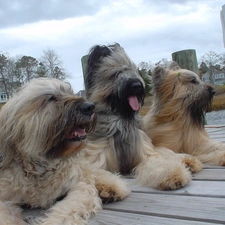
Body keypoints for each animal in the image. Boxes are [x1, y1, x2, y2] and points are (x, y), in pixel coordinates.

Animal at [0, 78, 130, 225]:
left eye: (71, 92)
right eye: (51, 98)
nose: (90, 107)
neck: (41, 168)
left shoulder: (80, 184)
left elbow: (68, 209)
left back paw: (111, 188)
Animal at [82, 43, 202, 191]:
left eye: (133, 70)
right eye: (117, 73)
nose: (137, 86)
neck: (123, 121)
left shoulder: (146, 152)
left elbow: (157, 163)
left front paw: (173, 175)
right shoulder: (95, 158)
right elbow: (96, 172)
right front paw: (110, 186)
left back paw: (190, 162)